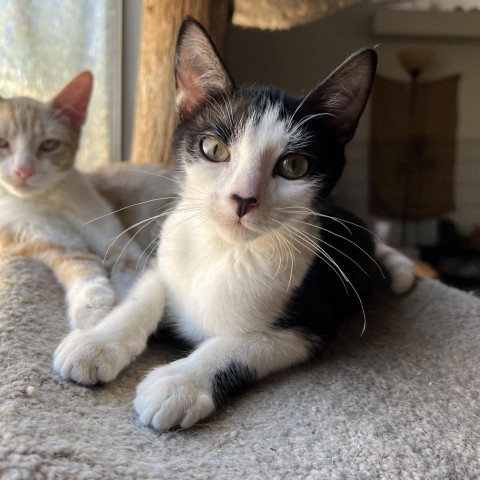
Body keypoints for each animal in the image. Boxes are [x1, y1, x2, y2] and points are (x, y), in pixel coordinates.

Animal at [0, 74, 172, 330]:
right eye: (2, 143)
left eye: (49, 144)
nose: (23, 171)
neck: (49, 199)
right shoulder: (48, 242)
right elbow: (80, 265)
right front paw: (92, 307)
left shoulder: (119, 241)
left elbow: (129, 267)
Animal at [51, 17, 412, 432]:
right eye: (214, 149)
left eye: (294, 166)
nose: (242, 199)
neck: (226, 251)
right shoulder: (165, 260)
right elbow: (145, 294)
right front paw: (97, 341)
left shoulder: (310, 324)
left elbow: (240, 345)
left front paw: (179, 384)